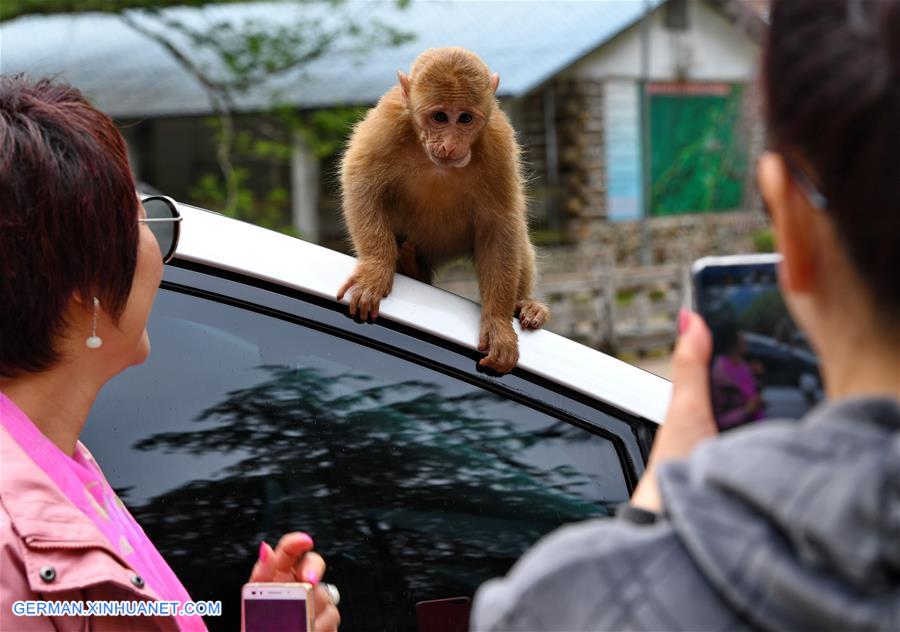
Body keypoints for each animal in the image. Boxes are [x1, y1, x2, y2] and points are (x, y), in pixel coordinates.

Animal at [336, 47, 550, 374]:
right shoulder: (388, 120)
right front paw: (375, 270)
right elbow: (361, 184)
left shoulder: (498, 141)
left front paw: (498, 324)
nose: (450, 145)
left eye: (465, 118)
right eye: (440, 116)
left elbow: (500, 224)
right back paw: (409, 265)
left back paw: (526, 304)